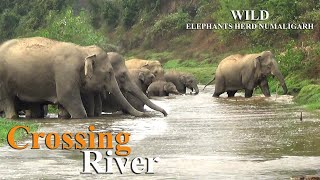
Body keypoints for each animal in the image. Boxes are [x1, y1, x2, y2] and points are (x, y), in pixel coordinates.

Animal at [0, 36, 144, 118]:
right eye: (109, 72)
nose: (144, 114)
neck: (83, 50)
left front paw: (64, 116)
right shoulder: (65, 72)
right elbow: (66, 98)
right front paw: (80, 117)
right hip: (2, 78)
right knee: (7, 99)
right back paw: (12, 117)